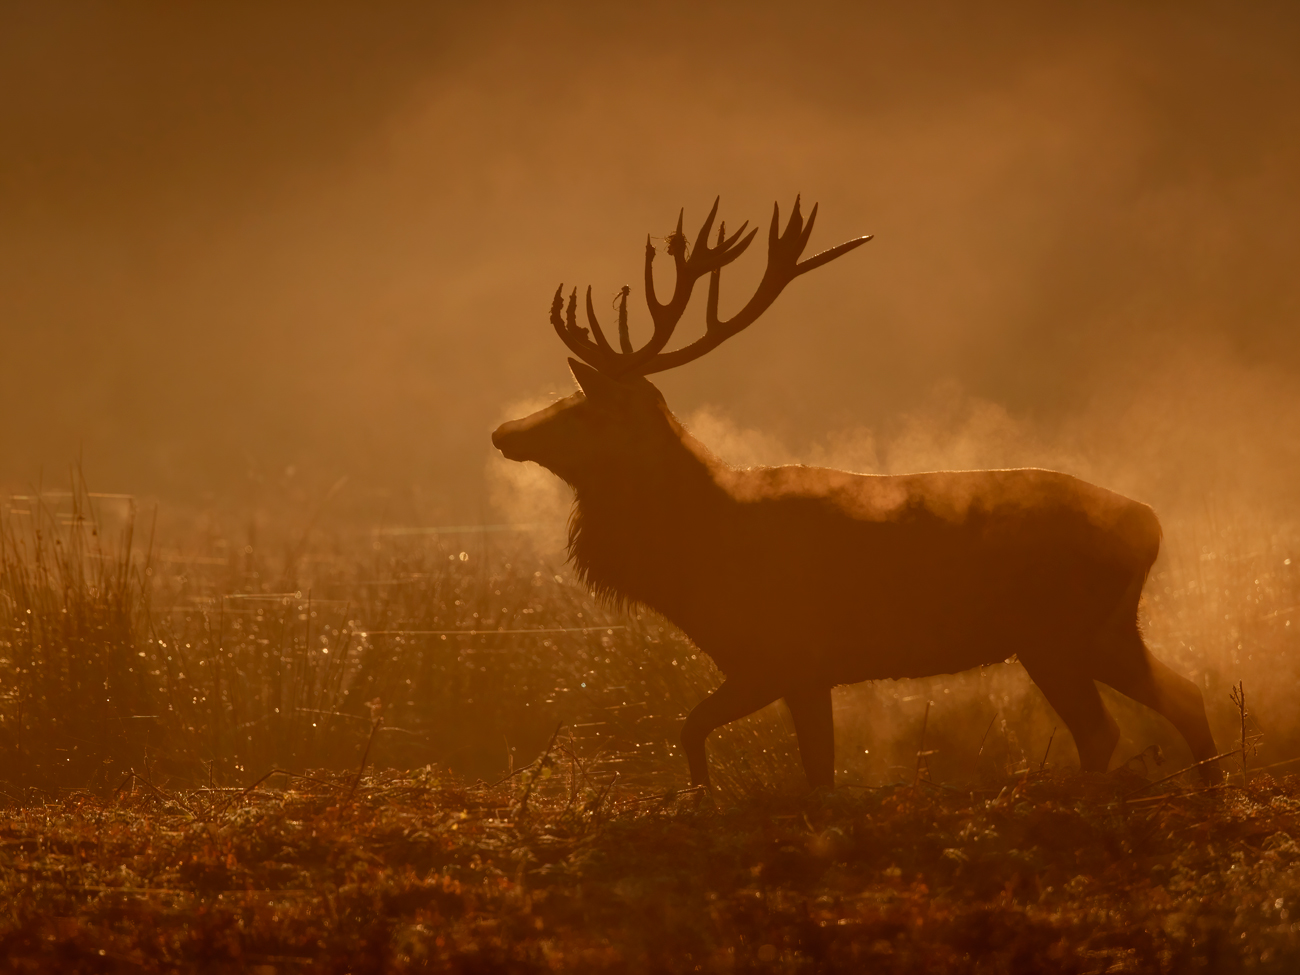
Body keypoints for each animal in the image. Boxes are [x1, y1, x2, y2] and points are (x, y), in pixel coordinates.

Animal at [492, 196, 1220, 790]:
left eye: (582, 408)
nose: (502, 430)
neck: (701, 560)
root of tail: (1151, 524)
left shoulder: (785, 654)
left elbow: (714, 736)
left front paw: (705, 795)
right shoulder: (790, 671)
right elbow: (786, 758)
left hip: (1063, 631)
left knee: (1108, 726)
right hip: (1099, 631)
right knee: (1182, 696)